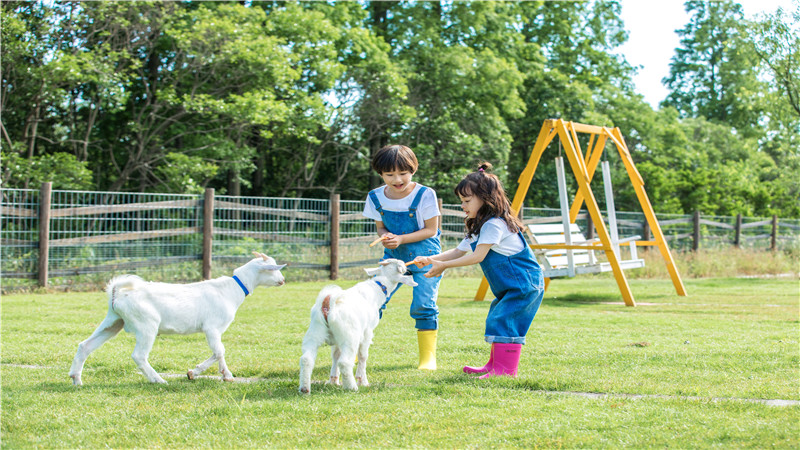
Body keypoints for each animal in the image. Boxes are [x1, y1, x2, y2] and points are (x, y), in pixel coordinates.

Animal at [69, 251, 288, 384]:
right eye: (274, 269)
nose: (283, 280)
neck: (232, 288)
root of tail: (118, 293)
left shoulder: (214, 331)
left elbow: (219, 352)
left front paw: (222, 375)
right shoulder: (212, 328)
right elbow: (219, 351)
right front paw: (200, 373)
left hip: (113, 321)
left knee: (85, 345)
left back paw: (76, 379)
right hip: (147, 325)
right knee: (138, 355)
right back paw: (158, 380)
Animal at [296, 258, 416, 392]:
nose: (409, 269)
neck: (378, 288)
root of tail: (329, 305)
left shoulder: (337, 339)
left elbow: (335, 355)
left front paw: (333, 380)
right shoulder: (367, 332)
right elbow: (363, 356)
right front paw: (362, 381)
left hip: (315, 331)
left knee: (306, 359)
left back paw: (304, 388)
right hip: (350, 336)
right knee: (344, 362)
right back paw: (352, 387)